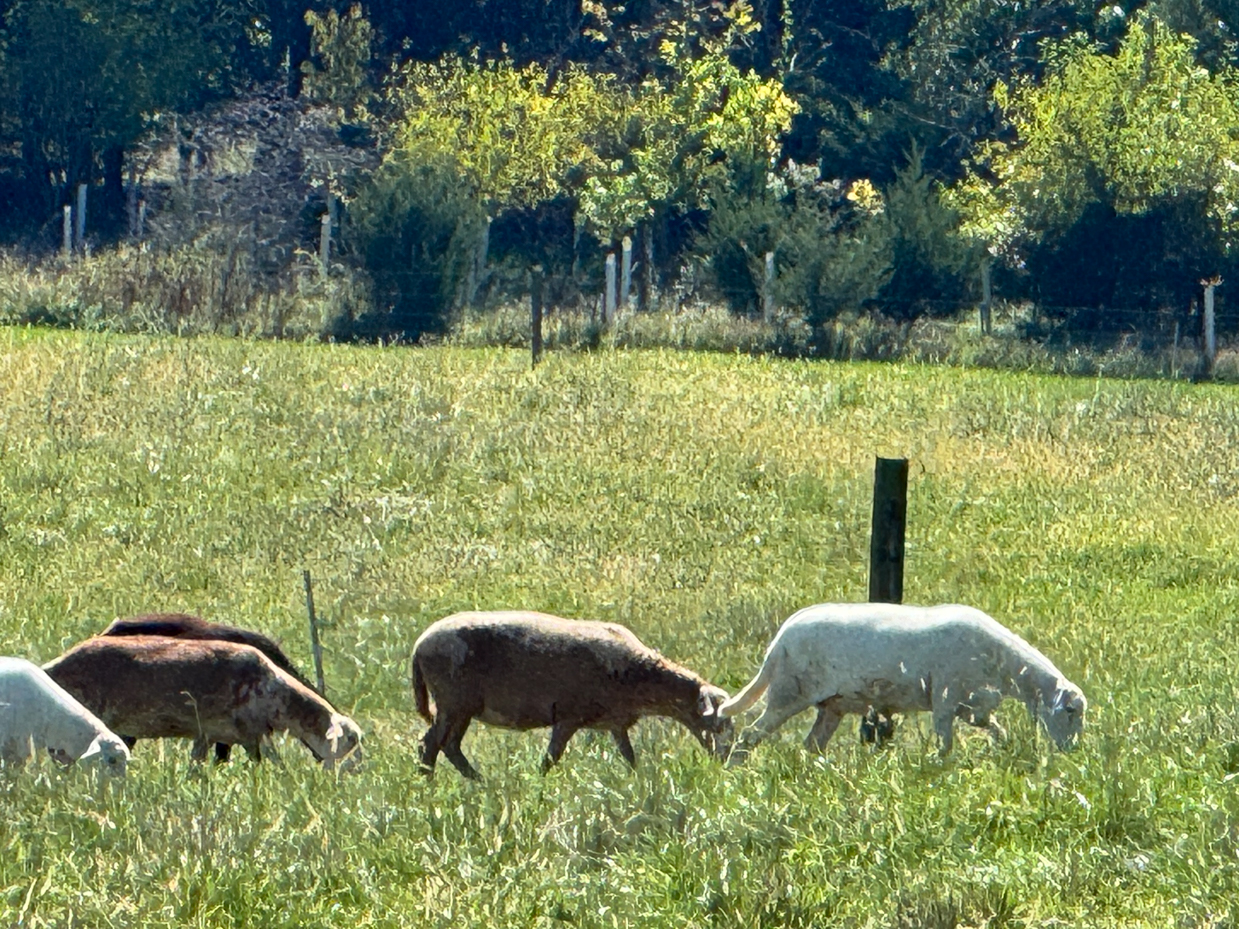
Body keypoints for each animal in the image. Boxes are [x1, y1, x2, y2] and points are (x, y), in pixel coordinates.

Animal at [43, 639, 361, 772]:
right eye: (350, 741)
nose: (335, 777)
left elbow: (197, 765)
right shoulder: (252, 734)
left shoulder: (210, 734)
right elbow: (273, 763)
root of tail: (51, 667)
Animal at [406, 611, 733, 777]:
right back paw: (435, 785)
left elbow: (629, 757)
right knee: (430, 746)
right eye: (717, 724)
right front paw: (538, 785)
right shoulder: (568, 716)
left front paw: (637, 781)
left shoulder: (616, 723)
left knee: (449, 747)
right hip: (452, 700)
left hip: (460, 707)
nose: (726, 762)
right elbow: (550, 759)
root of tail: (418, 646)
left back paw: (477, 782)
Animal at [723, 604, 1090, 763]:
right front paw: (940, 765)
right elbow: (945, 741)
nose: (1071, 749)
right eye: (1070, 711)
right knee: (749, 734)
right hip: (788, 692)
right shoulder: (946, 696)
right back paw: (735, 767)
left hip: (831, 706)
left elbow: (995, 729)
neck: (1004, 665)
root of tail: (778, 641)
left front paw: (1000, 749)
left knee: (811, 744)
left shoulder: (973, 704)